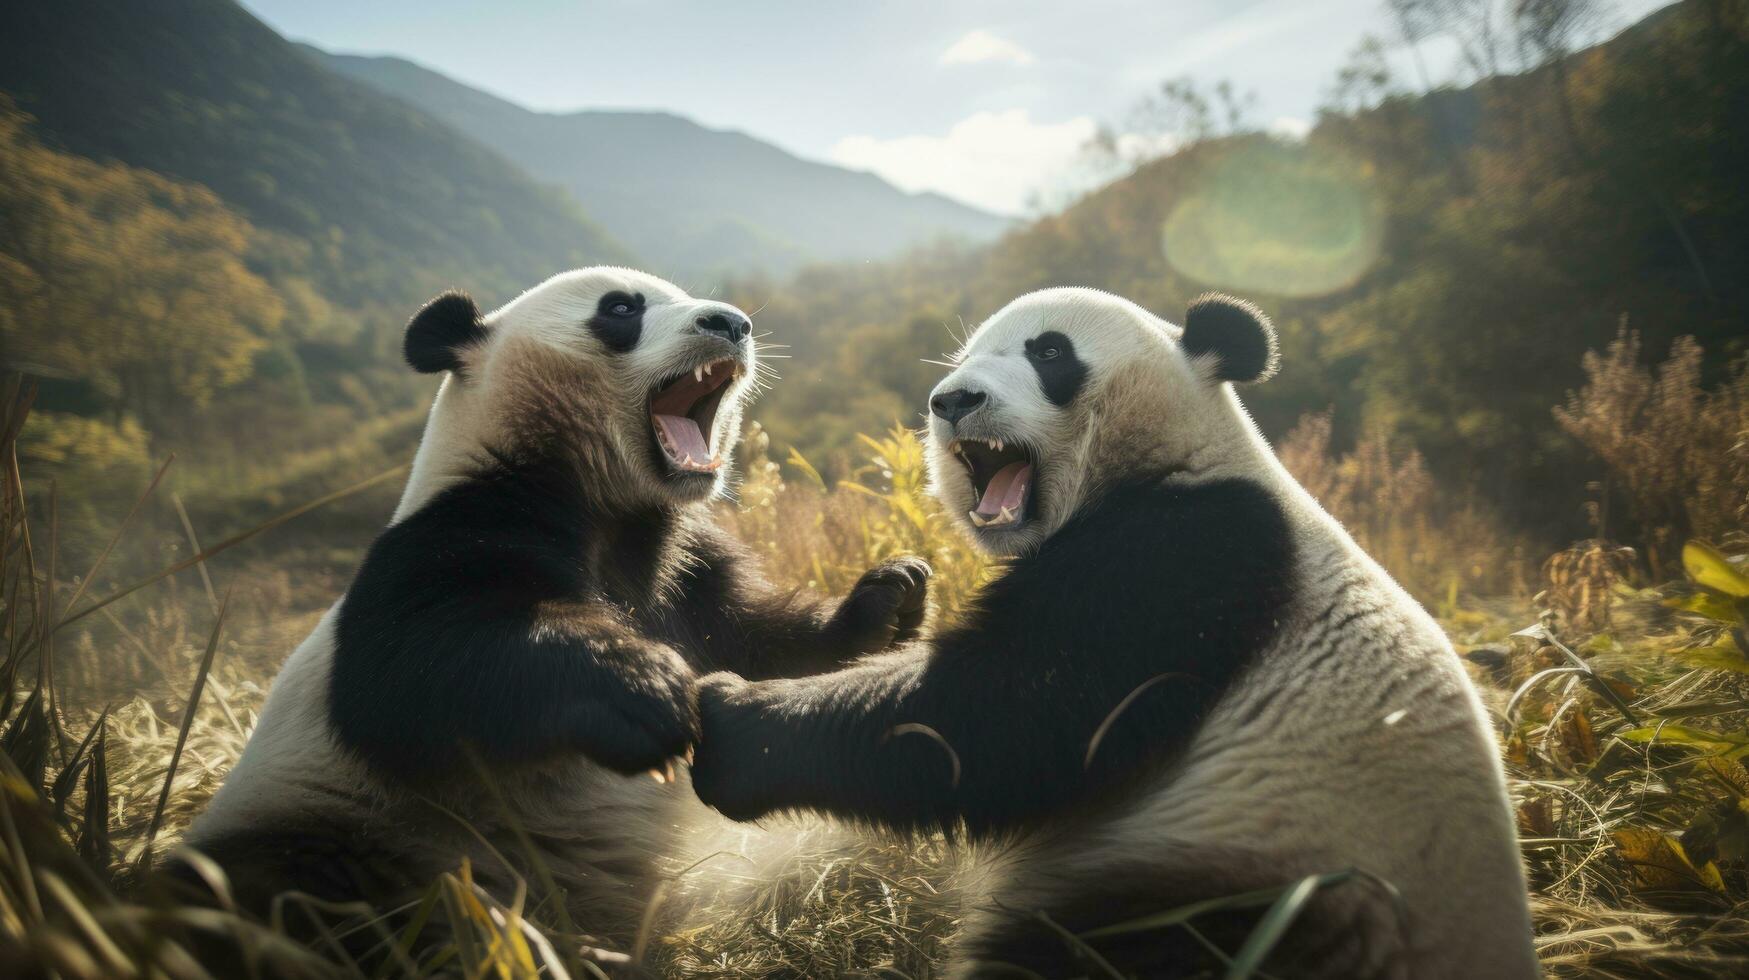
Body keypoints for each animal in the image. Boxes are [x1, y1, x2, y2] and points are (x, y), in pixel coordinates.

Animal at [179, 266, 937, 945]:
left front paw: (891, 598)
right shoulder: (449, 536)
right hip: (350, 831)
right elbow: (410, 674)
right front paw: (643, 691)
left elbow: (761, 641)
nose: (731, 323)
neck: (607, 503)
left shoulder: (689, 568)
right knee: (271, 894)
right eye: (621, 308)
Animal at [689, 287, 1539, 980]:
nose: (953, 399)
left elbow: (1004, 716)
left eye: (1048, 352)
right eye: (964, 359)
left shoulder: (1190, 554)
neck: (1172, 457)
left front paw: (732, 722)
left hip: (1247, 884)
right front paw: (890, 597)